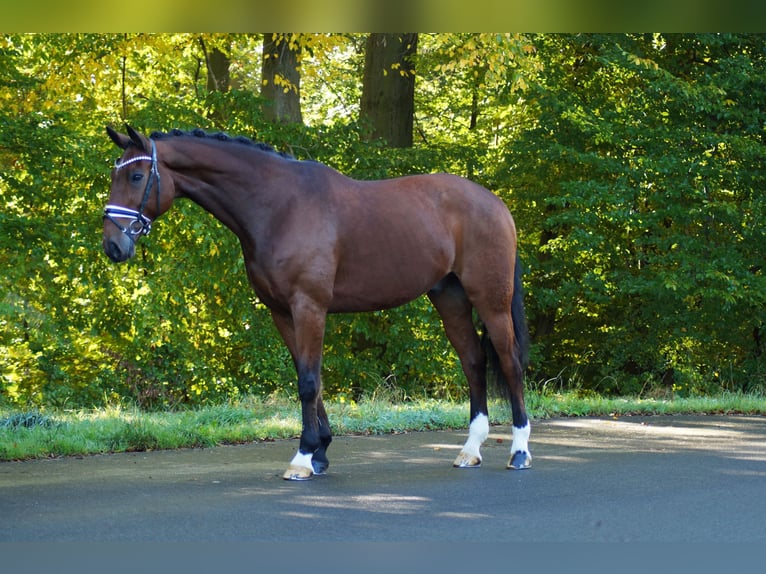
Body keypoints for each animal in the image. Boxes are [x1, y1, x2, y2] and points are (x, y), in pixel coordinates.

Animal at [103, 126, 536, 482]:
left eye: (136, 176)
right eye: (115, 175)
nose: (113, 246)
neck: (278, 205)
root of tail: (495, 203)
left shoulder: (309, 306)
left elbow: (308, 382)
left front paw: (303, 458)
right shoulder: (282, 312)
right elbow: (308, 375)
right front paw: (321, 453)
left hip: (491, 300)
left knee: (510, 363)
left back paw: (519, 451)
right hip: (450, 298)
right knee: (473, 362)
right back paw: (470, 450)